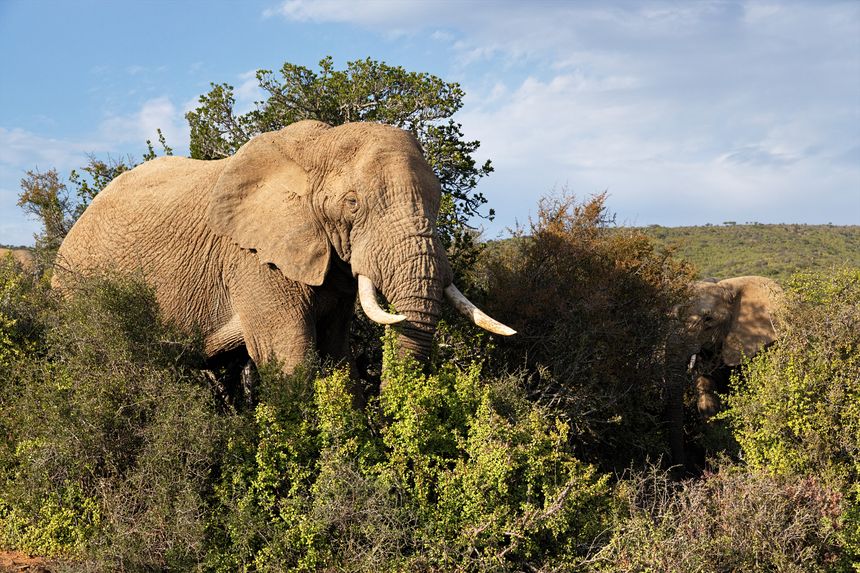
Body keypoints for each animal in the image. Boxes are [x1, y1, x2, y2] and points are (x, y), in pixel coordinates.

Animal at [53, 119, 512, 380]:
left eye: (437, 201)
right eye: (352, 203)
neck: (316, 146)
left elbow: (337, 356)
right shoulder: (253, 261)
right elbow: (291, 362)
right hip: (74, 295)